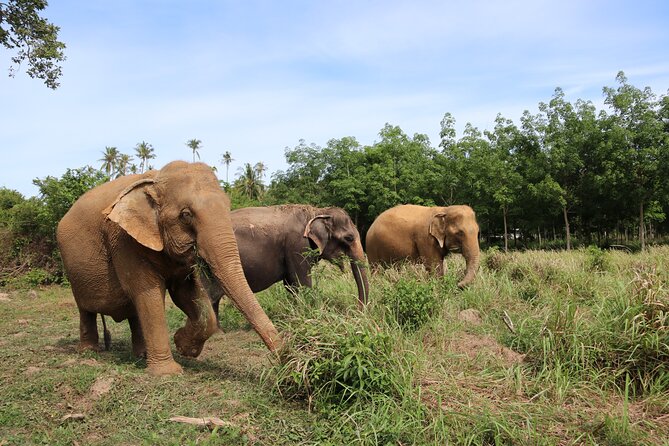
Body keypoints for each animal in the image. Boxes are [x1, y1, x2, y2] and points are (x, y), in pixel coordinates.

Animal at [57, 161, 281, 376]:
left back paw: (141, 355)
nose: (283, 363)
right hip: (74, 271)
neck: (155, 179)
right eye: (186, 215)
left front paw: (183, 345)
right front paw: (168, 373)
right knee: (86, 309)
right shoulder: (123, 240)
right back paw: (89, 352)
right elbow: (148, 293)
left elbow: (186, 293)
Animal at [209, 205, 369, 318]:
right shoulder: (297, 245)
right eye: (349, 238)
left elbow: (290, 285)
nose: (355, 312)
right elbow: (302, 282)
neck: (317, 212)